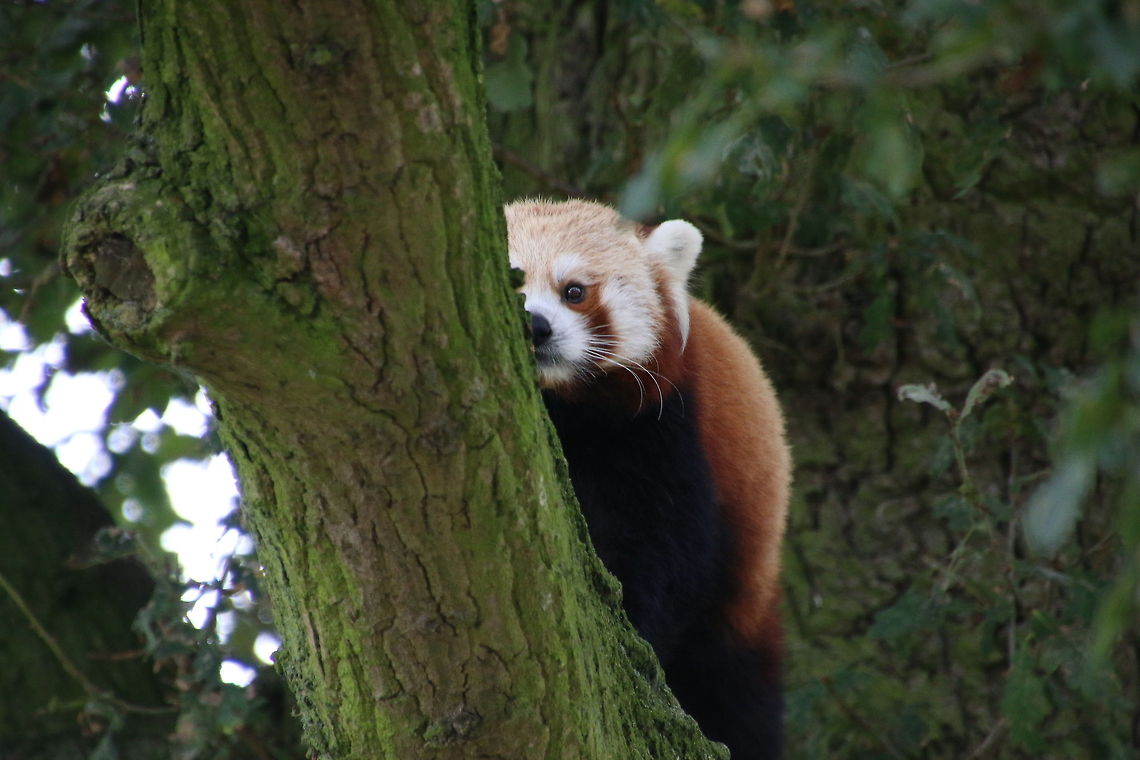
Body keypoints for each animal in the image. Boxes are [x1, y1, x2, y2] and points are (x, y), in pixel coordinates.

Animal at [505, 199, 791, 759]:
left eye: (574, 291)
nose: (535, 326)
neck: (564, 411)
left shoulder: (663, 434)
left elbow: (660, 552)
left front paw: (635, 623)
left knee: (736, 689)